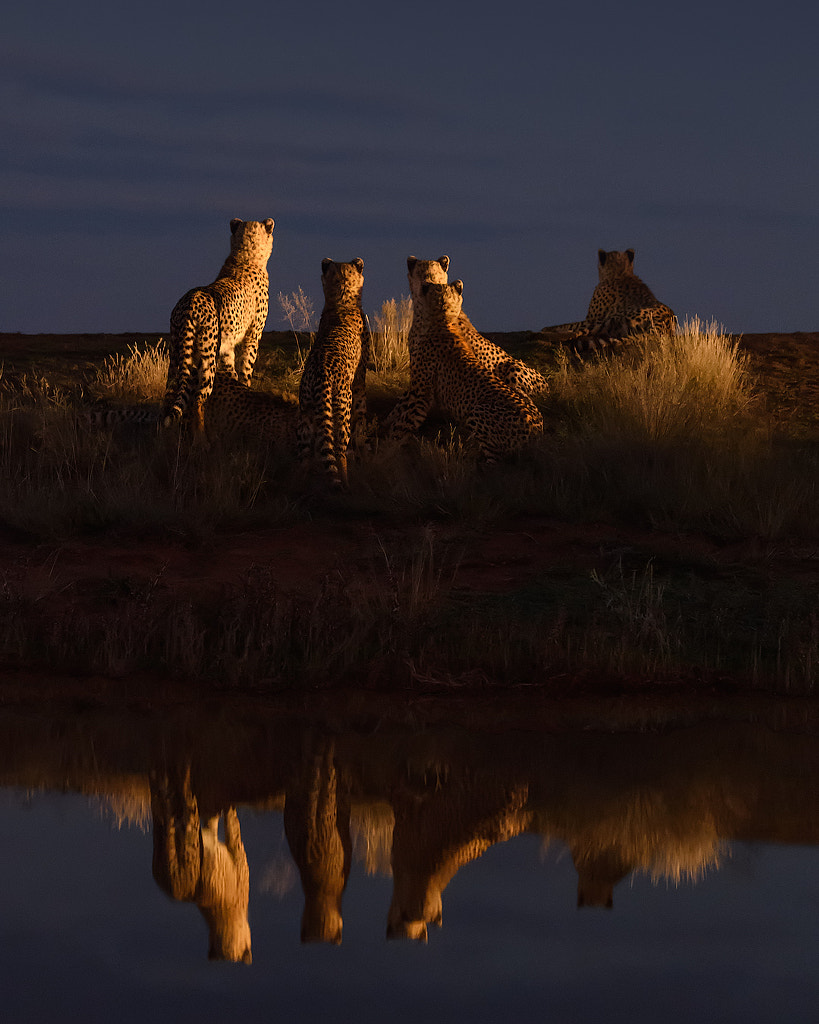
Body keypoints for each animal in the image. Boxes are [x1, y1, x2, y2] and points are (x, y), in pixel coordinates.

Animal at [160, 218, 274, 434]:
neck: (245, 258)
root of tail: (190, 301)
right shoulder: (253, 336)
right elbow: (246, 370)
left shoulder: (227, 346)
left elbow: (232, 372)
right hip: (207, 357)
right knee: (198, 399)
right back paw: (202, 438)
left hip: (177, 353)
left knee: (169, 393)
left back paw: (163, 435)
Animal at [296, 260, 368, 491]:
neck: (342, 300)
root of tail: (319, 374)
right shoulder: (359, 380)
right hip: (341, 407)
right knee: (339, 448)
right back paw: (346, 482)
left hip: (306, 412)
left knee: (304, 455)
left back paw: (298, 486)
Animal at [391, 276, 544, 460]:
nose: (458, 282)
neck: (442, 320)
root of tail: (536, 431)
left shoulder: (420, 394)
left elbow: (404, 422)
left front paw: (387, 448)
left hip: (477, 412)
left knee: (494, 462)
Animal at [544, 249, 679, 354]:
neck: (620, 272)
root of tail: (666, 324)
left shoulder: (593, 317)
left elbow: (570, 324)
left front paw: (549, 328)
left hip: (609, 320)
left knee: (578, 332)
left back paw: (548, 334)